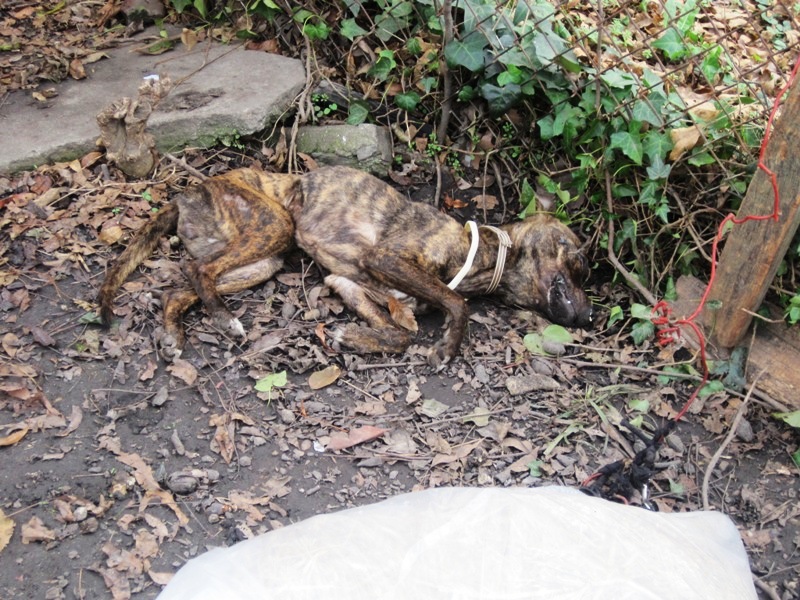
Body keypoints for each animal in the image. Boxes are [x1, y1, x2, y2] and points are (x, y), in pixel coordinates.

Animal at [98, 168, 296, 360]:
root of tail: (187, 194)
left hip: (260, 262)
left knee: (175, 293)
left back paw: (175, 336)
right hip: (274, 225)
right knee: (197, 267)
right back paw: (227, 320)